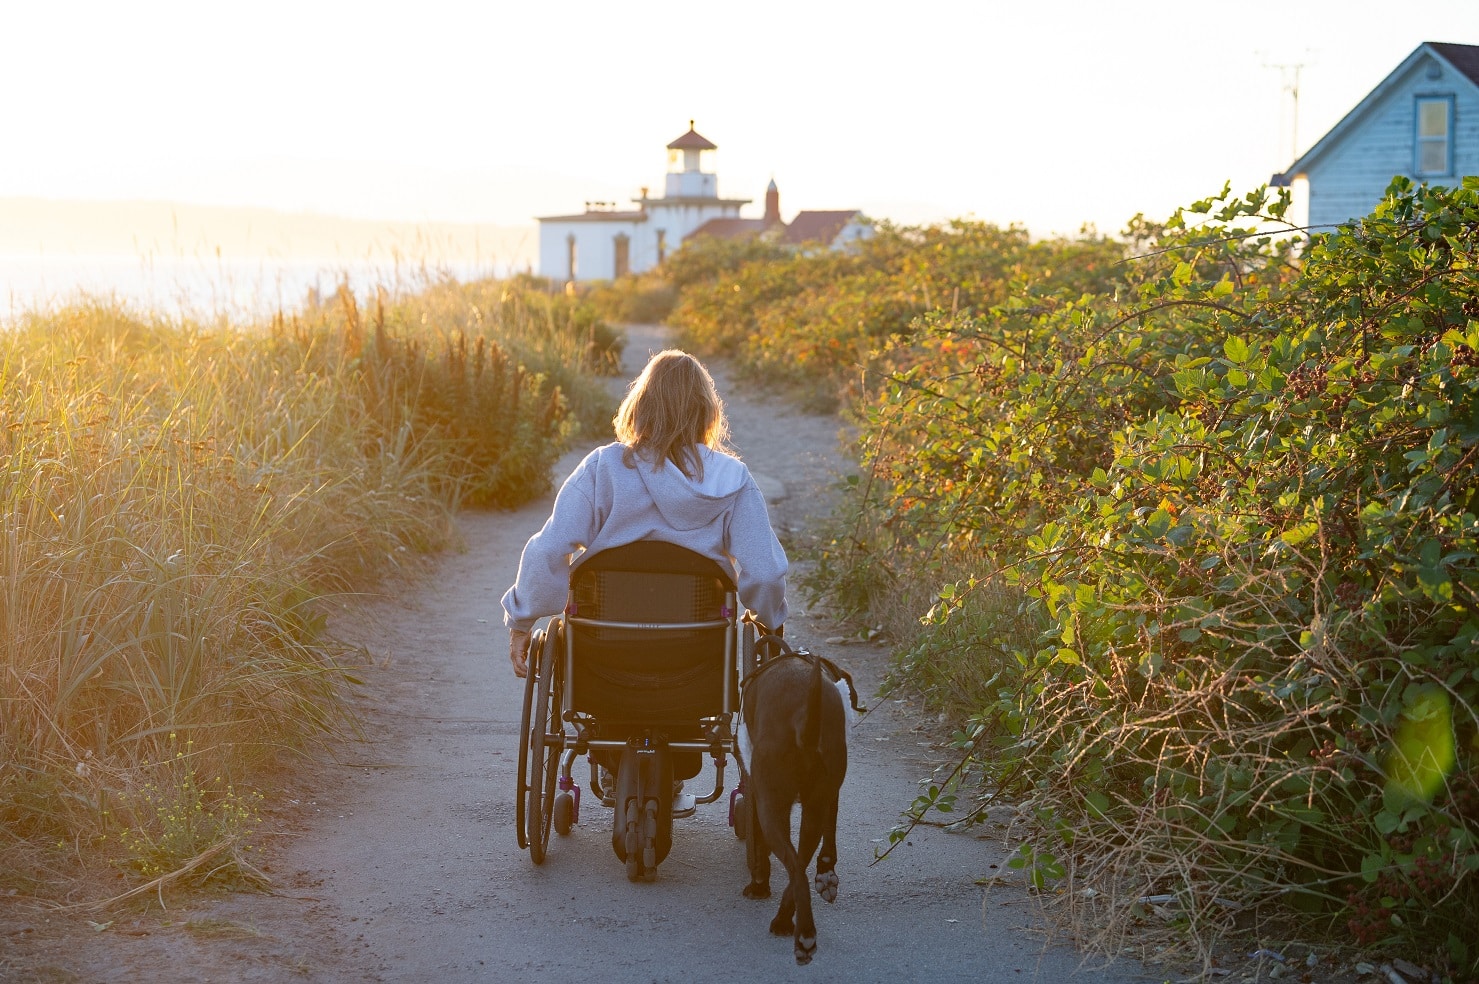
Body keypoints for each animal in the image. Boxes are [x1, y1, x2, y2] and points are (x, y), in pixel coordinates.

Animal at [739, 633, 863, 964]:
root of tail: (803, 716)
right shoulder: (829, 794)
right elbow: (830, 833)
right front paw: (827, 872)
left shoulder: (756, 791)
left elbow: (757, 844)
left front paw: (759, 883)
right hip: (814, 805)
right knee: (802, 862)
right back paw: (794, 923)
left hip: (772, 806)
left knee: (794, 864)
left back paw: (797, 931)